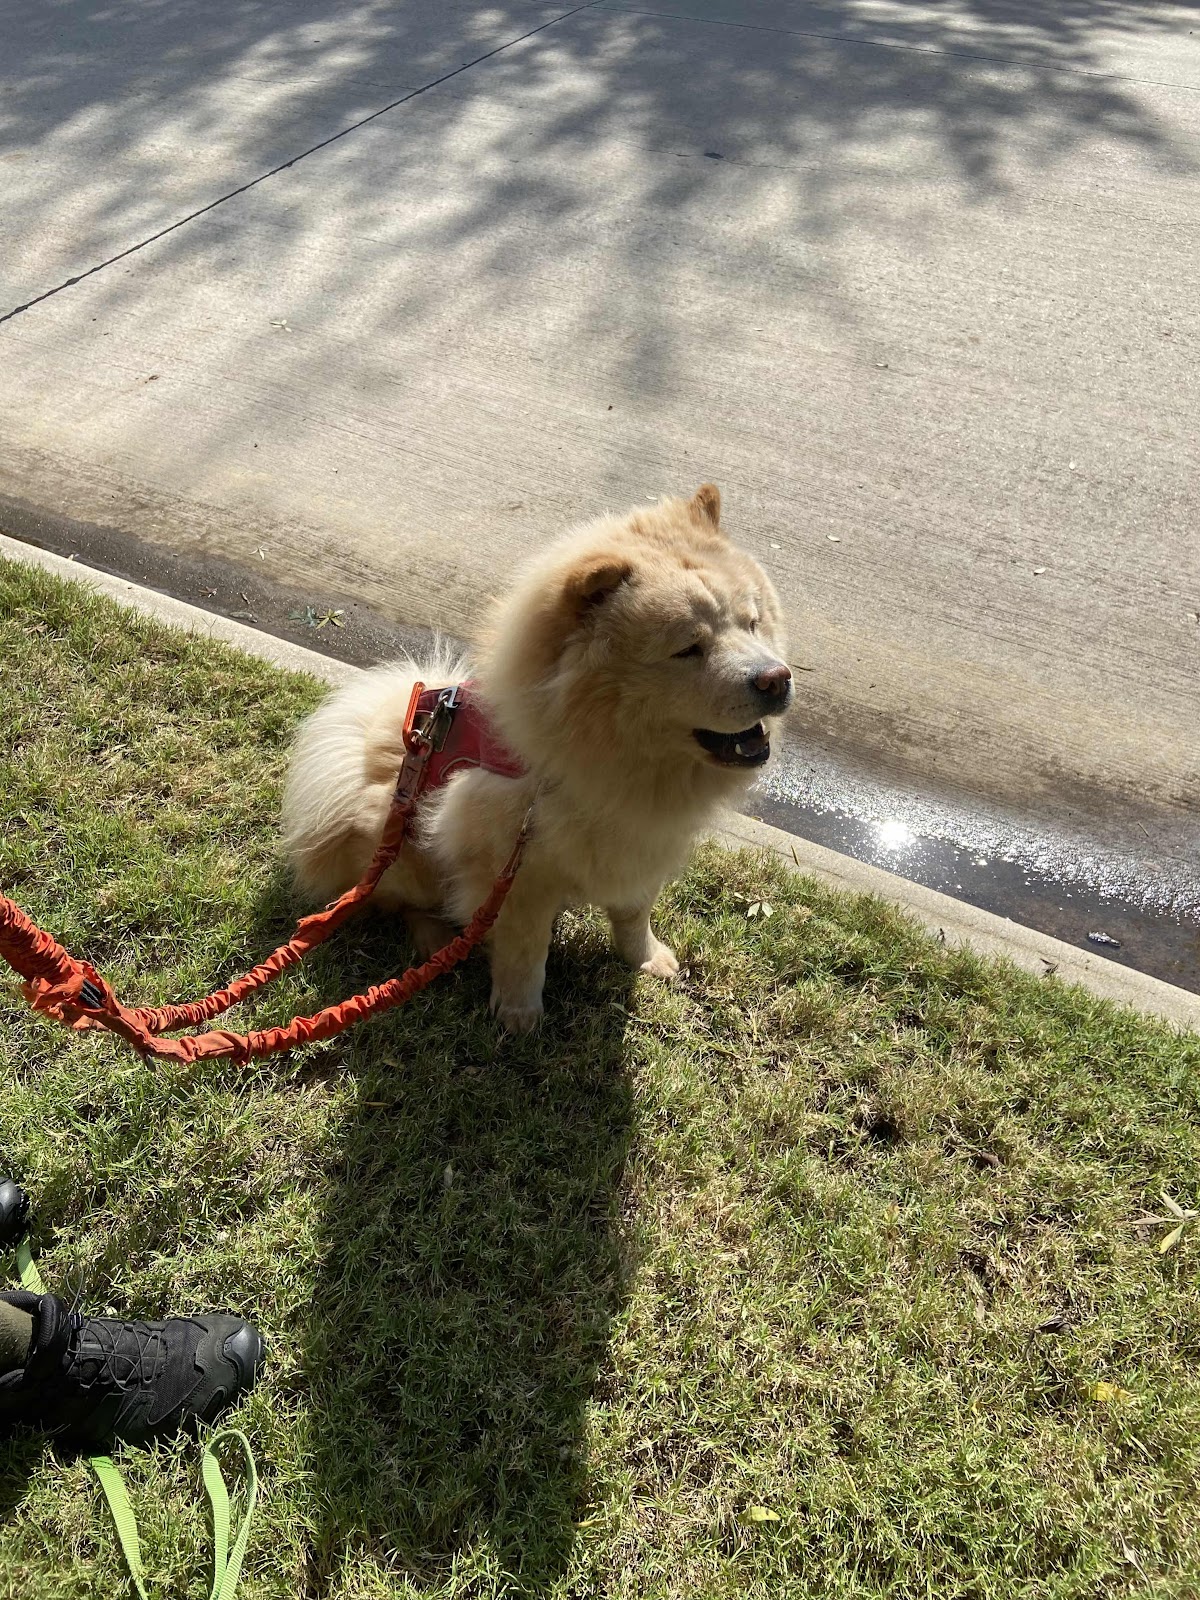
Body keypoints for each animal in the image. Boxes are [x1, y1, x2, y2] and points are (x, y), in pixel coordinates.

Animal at [282, 485, 792, 1031]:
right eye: (688, 649)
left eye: (753, 625)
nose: (777, 678)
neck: (618, 761)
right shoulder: (519, 875)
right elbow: (525, 950)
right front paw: (519, 1015)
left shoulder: (640, 848)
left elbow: (634, 915)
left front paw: (648, 960)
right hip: (402, 850)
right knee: (397, 902)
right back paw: (437, 940)